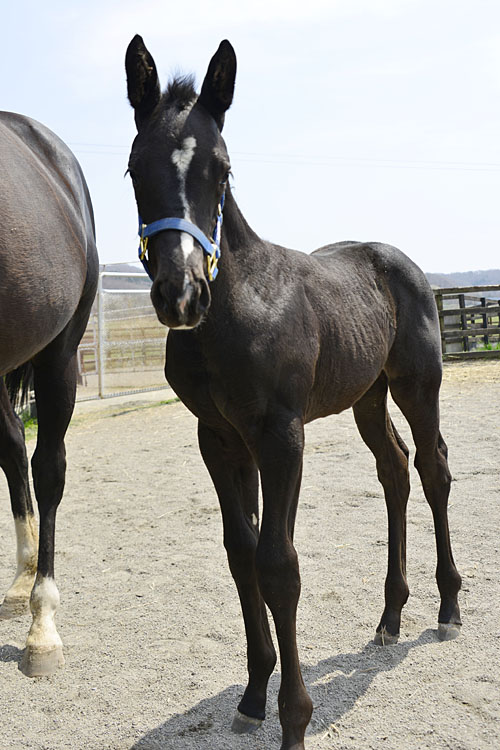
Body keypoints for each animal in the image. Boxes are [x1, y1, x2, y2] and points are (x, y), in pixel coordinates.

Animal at [125, 39, 460, 750]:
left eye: (222, 168)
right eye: (136, 168)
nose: (180, 295)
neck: (234, 309)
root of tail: (404, 263)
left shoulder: (281, 435)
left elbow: (279, 564)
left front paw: (294, 719)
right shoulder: (221, 438)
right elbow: (241, 552)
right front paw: (254, 694)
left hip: (417, 385)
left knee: (433, 470)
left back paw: (448, 606)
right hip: (368, 395)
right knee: (394, 470)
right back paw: (389, 616)